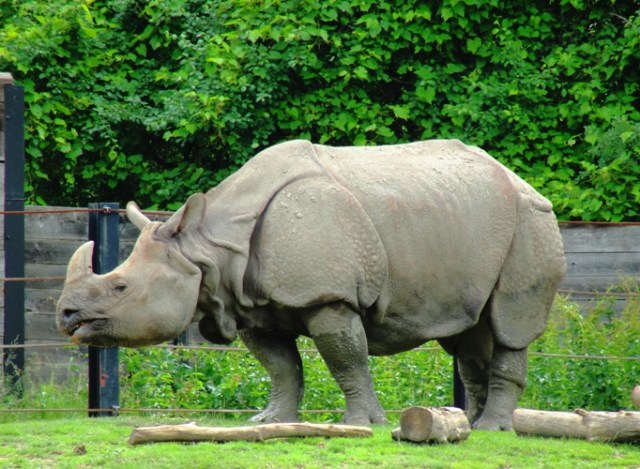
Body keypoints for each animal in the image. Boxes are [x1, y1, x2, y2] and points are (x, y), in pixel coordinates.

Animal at [56, 139, 566, 430]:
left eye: (120, 288)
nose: (65, 315)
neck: (206, 249)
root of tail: (526, 183)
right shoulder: (250, 305)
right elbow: (282, 366)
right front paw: (269, 420)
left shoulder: (329, 298)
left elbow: (346, 361)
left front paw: (362, 423)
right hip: (466, 223)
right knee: (470, 335)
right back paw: (469, 423)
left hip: (532, 222)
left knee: (509, 326)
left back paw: (491, 430)